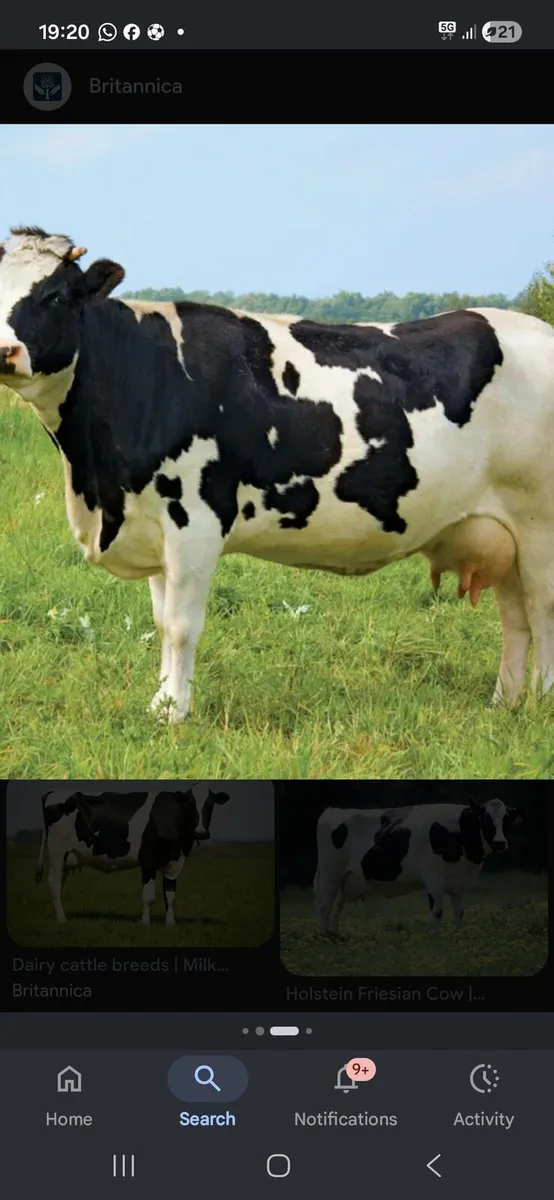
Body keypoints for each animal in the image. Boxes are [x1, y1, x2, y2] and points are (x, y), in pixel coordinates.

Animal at [2, 227, 554, 722]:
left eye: (56, 294)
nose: (5, 350)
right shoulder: (151, 522)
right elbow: (160, 622)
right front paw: (161, 702)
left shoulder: (194, 522)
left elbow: (181, 626)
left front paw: (175, 714)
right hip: (503, 531)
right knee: (515, 618)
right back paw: (504, 703)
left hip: (540, 527)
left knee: (543, 613)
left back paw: (541, 704)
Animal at [35, 787, 230, 924]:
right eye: (190, 805)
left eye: (210, 805)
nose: (201, 832)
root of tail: (53, 792)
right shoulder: (148, 861)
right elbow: (149, 896)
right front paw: (145, 923)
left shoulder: (176, 862)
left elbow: (170, 896)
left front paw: (170, 924)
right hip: (57, 851)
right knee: (54, 882)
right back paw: (62, 919)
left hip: (68, 857)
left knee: (59, 884)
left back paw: (60, 915)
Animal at [313, 799, 510, 937]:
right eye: (486, 820)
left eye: (506, 821)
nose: (500, 843)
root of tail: (332, 811)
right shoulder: (433, 876)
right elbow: (437, 911)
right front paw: (437, 938)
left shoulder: (460, 883)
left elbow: (459, 913)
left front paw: (458, 935)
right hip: (331, 872)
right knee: (325, 904)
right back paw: (324, 935)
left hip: (346, 879)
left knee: (337, 905)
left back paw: (336, 934)